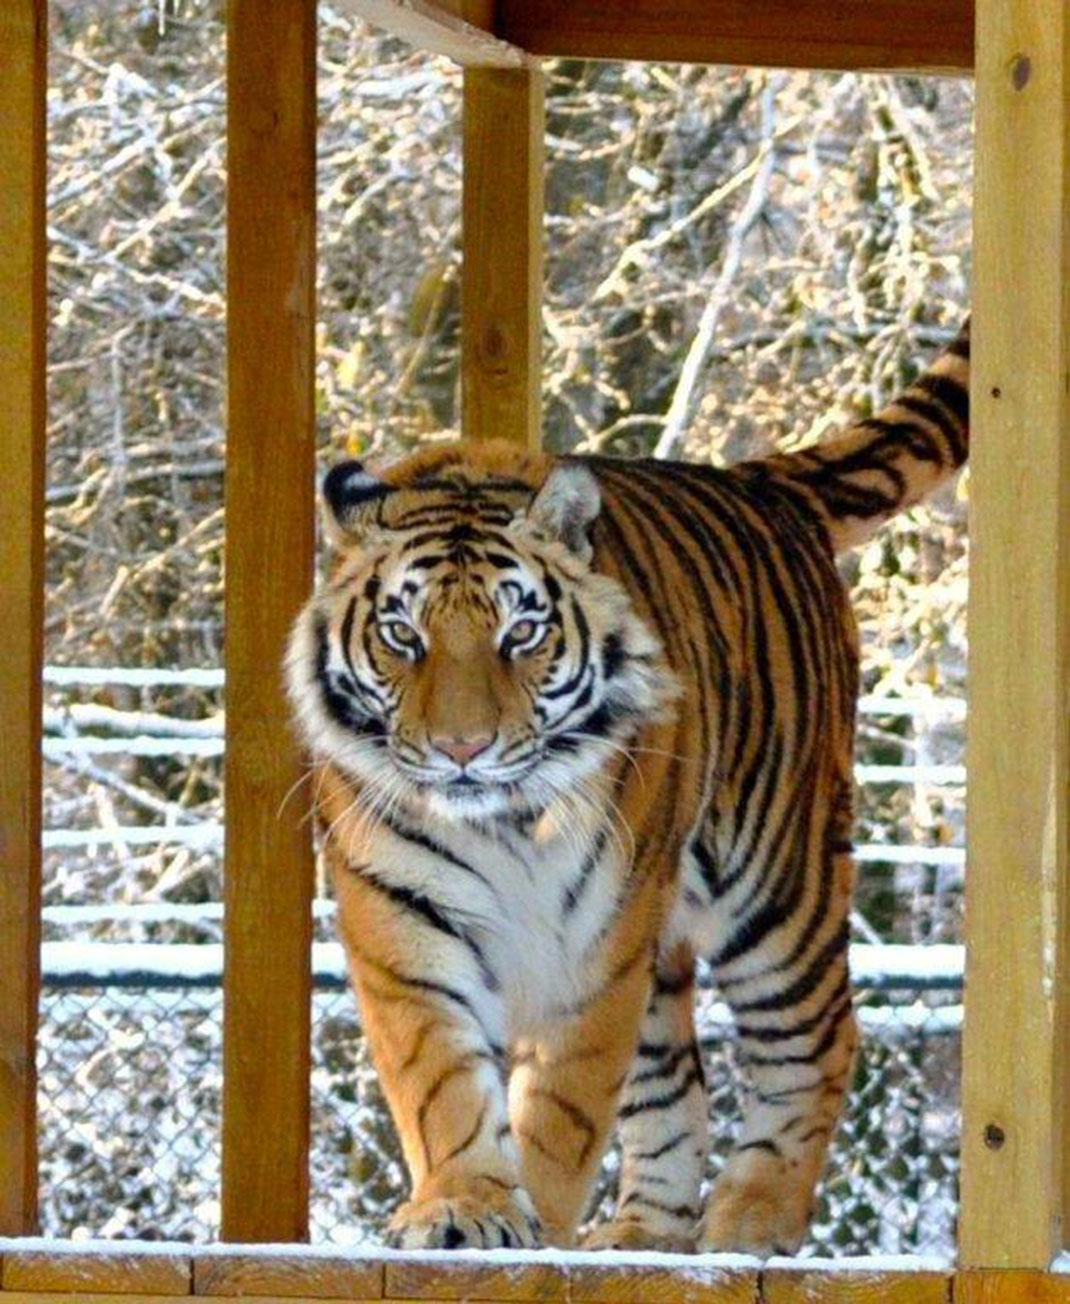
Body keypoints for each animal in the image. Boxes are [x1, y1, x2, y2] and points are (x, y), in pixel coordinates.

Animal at [286, 320, 969, 1256]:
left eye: (520, 633)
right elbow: (440, 1078)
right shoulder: (402, 914)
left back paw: (751, 1220)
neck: (502, 823)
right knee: (679, 1082)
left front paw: (534, 1216)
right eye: (402, 635)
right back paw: (644, 1231)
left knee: (819, 1038)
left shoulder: (597, 944)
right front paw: (468, 1205)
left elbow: (564, 1110)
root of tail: (758, 479)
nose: (462, 748)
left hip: (775, 886)